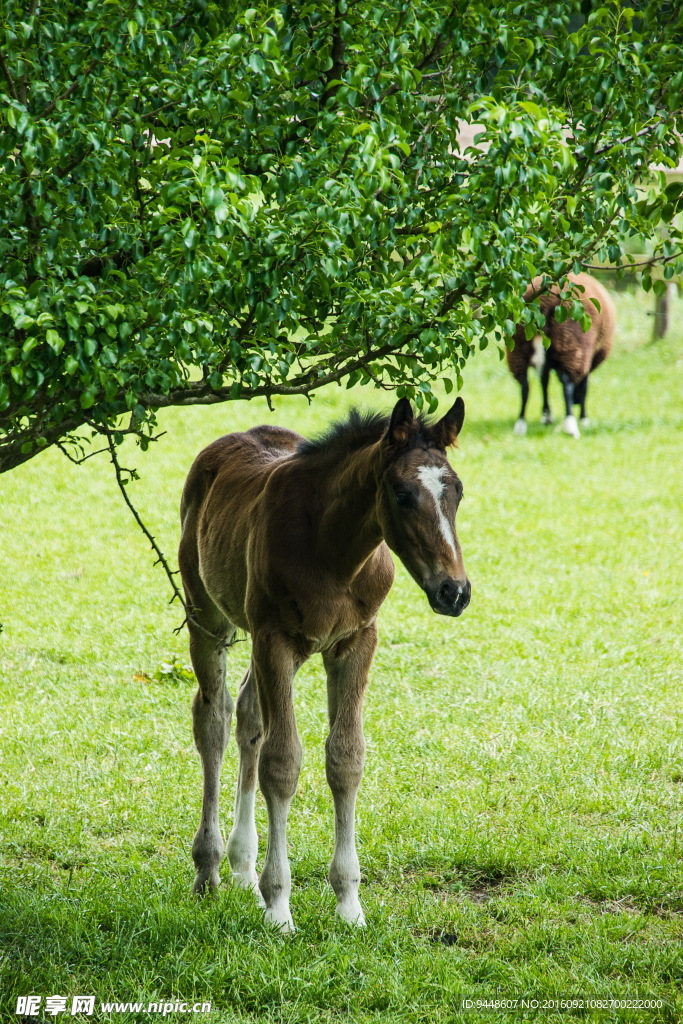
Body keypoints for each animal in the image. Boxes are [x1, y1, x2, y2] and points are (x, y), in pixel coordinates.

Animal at [179, 395, 473, 933]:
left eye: (457, 492)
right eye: (402, 494)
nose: (454, 591)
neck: (334, 551)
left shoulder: (356, 641)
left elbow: (345, 758)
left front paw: (349, 904)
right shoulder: (275, 638)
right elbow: (282, 762)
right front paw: (279, 907)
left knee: (249, 717)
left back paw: (242, 869)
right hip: (208, 617)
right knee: (214, 719)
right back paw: (209, 870)